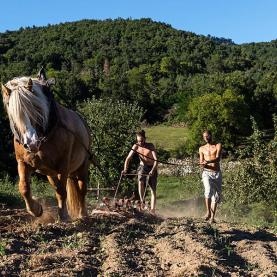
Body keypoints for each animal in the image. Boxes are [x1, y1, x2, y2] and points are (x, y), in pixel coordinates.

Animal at [1, 70, 91, 220]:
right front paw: (36, 209)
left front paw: (63, 216)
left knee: (81, 189)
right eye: (13, 113)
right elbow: (24, 188)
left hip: (83, 165)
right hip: (51, 173)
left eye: (35, 109)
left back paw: (82, 214)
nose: (31, 143)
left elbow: (62, 191)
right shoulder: (23, 162)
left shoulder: (63, 166)